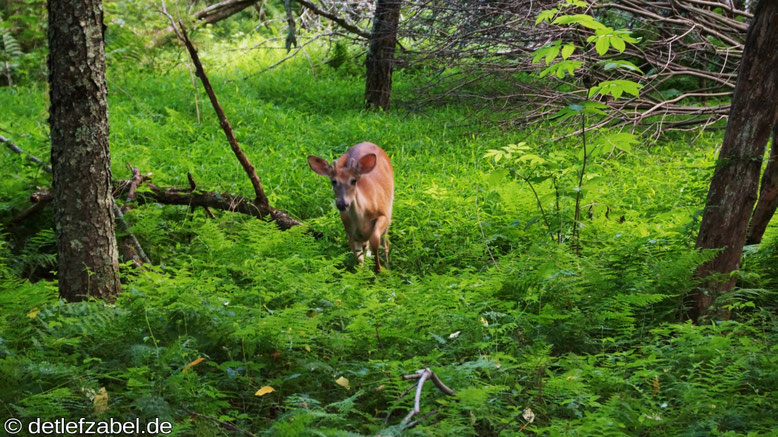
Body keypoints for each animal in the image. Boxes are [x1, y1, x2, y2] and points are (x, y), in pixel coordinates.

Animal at [308, 141, 394, 270]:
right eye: (333, 181)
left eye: (353, 181)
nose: (342, 204)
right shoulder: (349, 232)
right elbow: (359, 260)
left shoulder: (384, 213)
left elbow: (375, 239)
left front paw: (379, 269)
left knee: (385, 241)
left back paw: (387, 262)